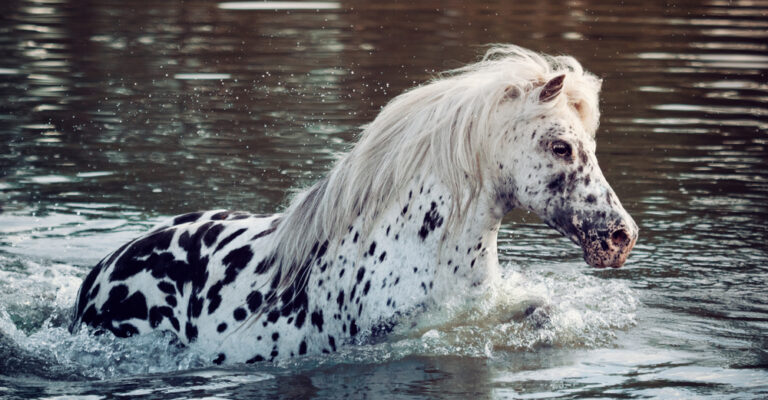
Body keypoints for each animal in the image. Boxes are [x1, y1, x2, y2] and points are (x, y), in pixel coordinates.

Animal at [69, 45, 638, 364]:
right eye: (561, 146)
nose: (621, 237)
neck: (414, 246)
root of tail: (100, 274)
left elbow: (539, 310)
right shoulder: (397, 335)